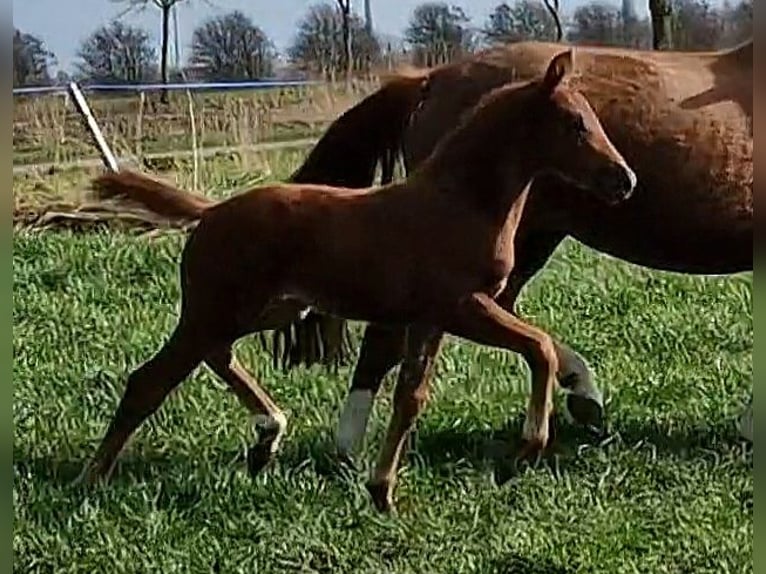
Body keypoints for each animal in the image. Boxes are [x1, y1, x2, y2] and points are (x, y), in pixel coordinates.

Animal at [81, 50, 640, 512]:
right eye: (575, 124)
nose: (625, 181)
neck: (461, 201)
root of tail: (211, 212)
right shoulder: (461, 305)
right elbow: (540, 347)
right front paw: (525, 448)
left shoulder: (431, 318)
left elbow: (412, 396)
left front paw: (381, 490)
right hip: (218, 309)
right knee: (149, 380)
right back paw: (92, 478)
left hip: (269, 307)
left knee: (215, 356)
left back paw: (267, 435)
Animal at [272, 38, 752, 462]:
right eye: (578, 124)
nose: (627, 181)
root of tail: (428, 81)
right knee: (388, 337)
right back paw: (349, 450)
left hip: (523, 242)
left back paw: (581, 394)